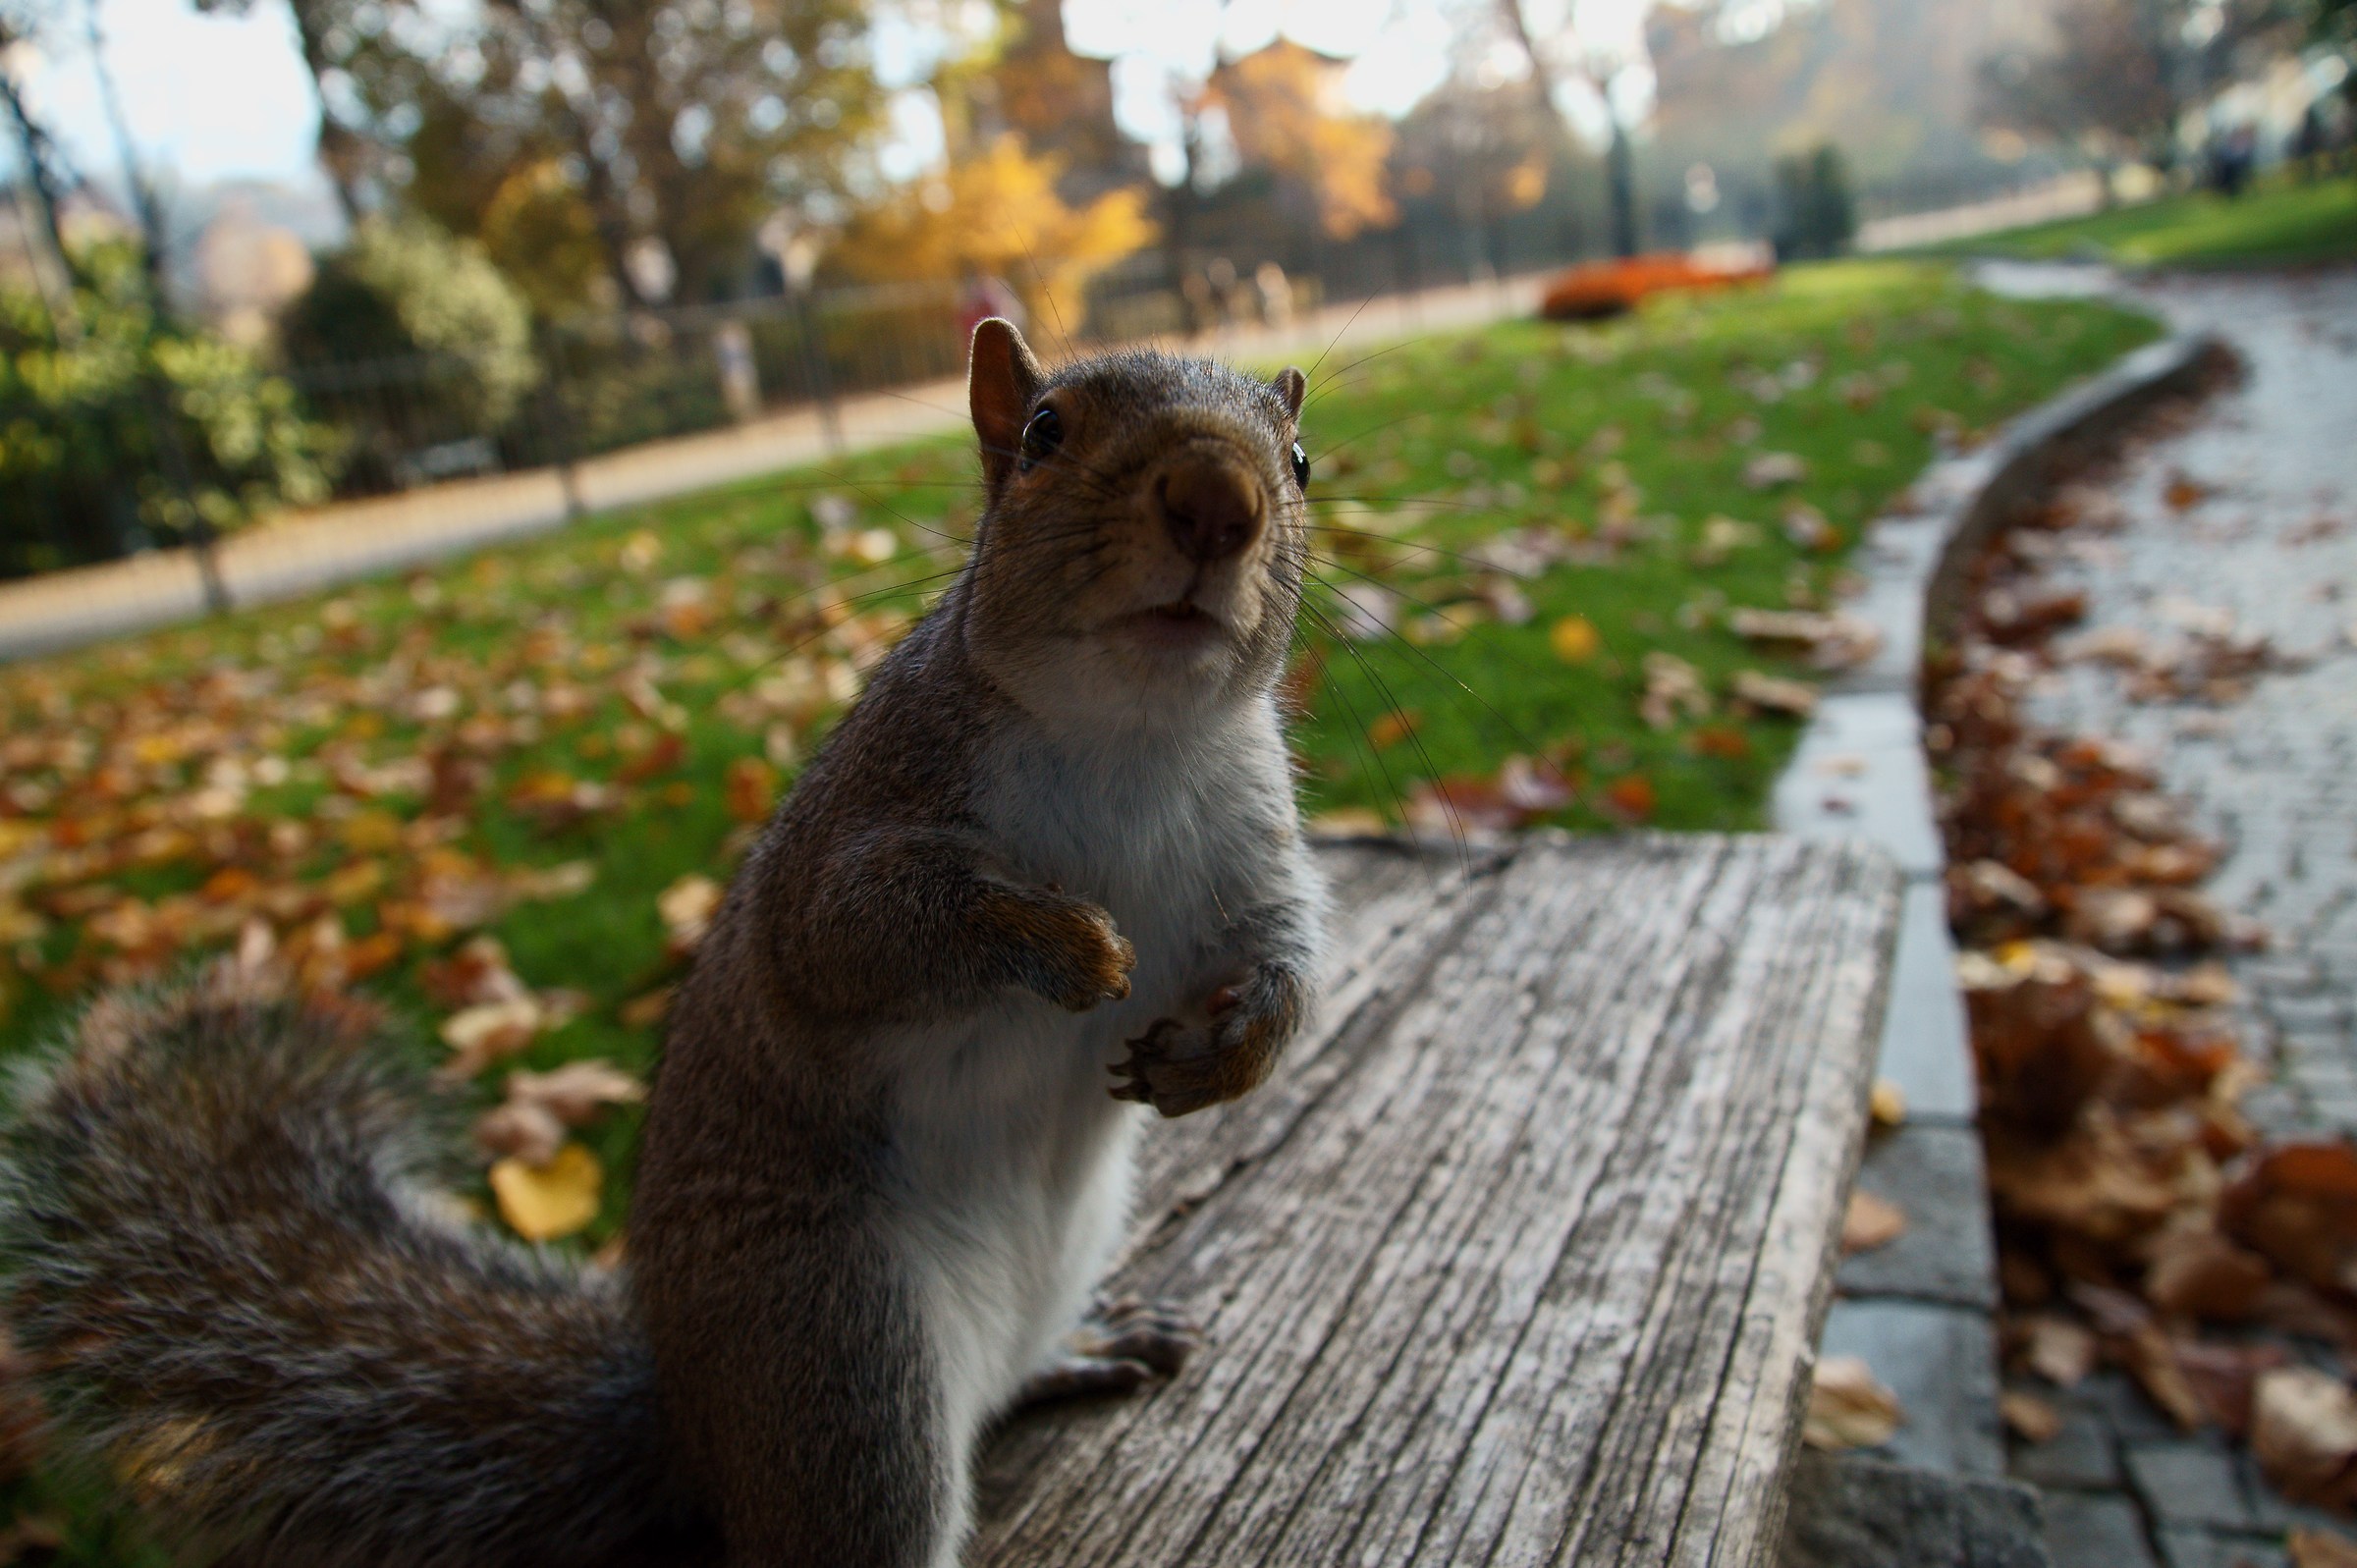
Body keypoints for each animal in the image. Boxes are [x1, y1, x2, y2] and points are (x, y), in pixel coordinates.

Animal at [0, 319, 1329, 1568]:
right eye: (1047, 432)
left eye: (1302, 458)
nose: (1217, 499)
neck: (1131, 736)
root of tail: (687, 1427)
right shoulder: (850, 832)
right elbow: (863, 936)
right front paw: (1066, 946)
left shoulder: (1252, 857)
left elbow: (1289, 961)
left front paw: (1226, 1056)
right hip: (835, 1359)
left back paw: (1083, 1348)